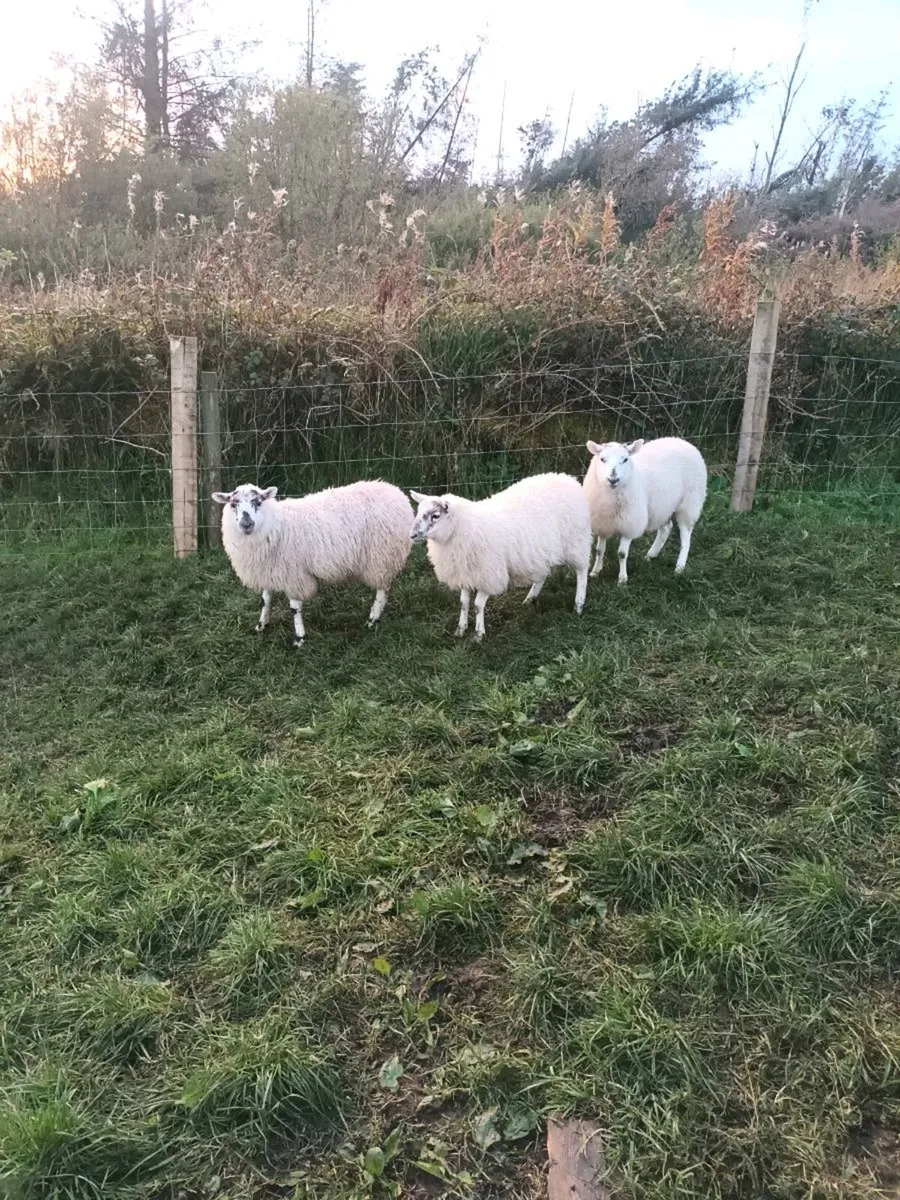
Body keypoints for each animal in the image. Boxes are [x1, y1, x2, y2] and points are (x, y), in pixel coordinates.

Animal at [212, 480, 414, 647]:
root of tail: (397, 493)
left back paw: (373, 619)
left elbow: (294, 608)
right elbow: (265, 600)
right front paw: (262, 625)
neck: (276, 525)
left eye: (258, 501)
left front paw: (299, 638)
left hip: (382, 557)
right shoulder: (268, 569)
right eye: (233, 504)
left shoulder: (293, 574)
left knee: (382, 590)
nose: (246, 523)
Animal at [409, 473, 592, 641]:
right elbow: (463, 603)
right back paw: (530, 599)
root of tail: (569, 479)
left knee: (582, 572)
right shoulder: (465, 573)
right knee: (542, 575)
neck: (461, 528)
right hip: (541, 552)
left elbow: (478, 605)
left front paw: (478, 634)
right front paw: (460, 630)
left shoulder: (489, 575)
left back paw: (578, 605)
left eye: (435, 515)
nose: (412, 535)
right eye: (418, 512)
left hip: (577, 542)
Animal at [582, 436, 707, 585]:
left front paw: (622, 579)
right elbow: (599, 550)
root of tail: (683, 441)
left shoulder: (630, 525)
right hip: (663, 506)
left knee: (686, 537)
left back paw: (679, 567)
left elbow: (622, 554)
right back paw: (651, 555)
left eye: (625, 459)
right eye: (602, 459)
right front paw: (595, 571)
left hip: (689, 504)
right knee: (666, 529)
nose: (613, 479)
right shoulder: (602, 523)